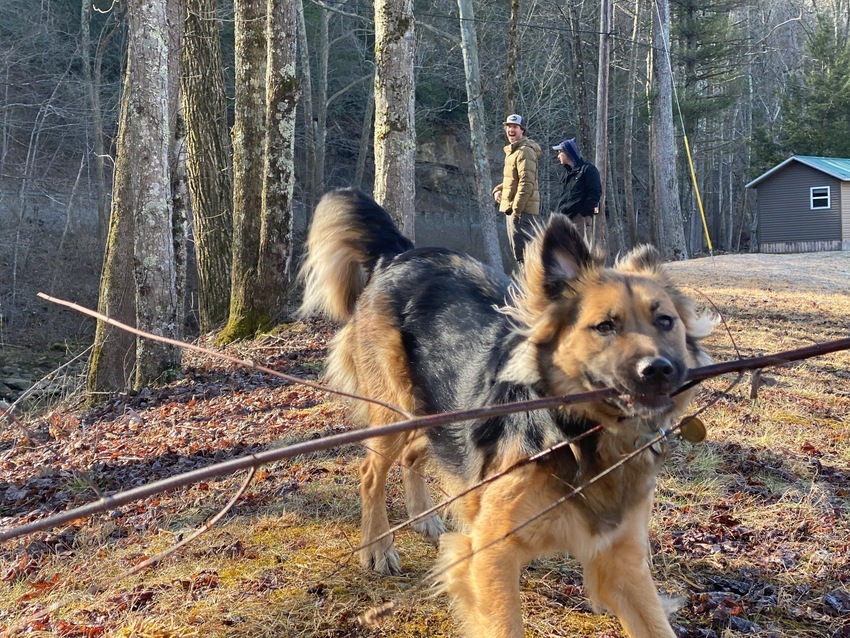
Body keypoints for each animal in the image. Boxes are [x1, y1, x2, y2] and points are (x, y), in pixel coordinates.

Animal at [296, 190, 708, 638]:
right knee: (371, 472)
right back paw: (378, 548)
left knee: (415, 455)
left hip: (439, 415)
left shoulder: (622, 560)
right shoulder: (489, 555)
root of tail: (401, 253)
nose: (658, 370)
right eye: (605, 326)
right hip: (397, 411)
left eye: (665, 321)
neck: (580, 438)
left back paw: (424, 519)